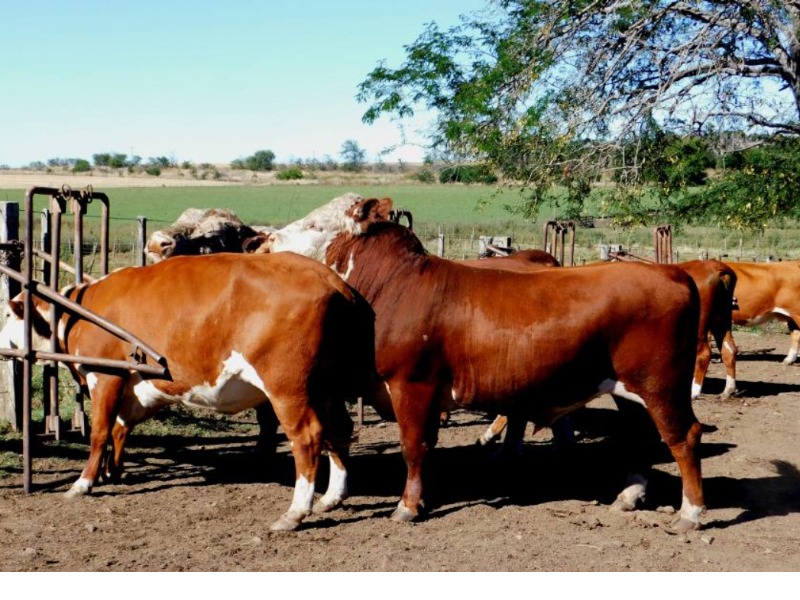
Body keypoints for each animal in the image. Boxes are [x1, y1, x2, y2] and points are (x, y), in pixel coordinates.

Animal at [0, 251, 376, 532]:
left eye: (6, 313)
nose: (2, 345)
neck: (78, 311)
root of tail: (332, 280)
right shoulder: (134, 387)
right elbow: (120, 429)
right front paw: (114, 472)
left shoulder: (106, 375)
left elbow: (100, 433)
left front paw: (84, 482)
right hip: (328, 388)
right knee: (339, 431)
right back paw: (332, 496)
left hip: (289, 389)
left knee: (308, 438)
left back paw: (296, 511)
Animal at [264, 192, 708, 528]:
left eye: (315, 226)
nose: (267, 241)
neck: (391, 289)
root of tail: (672, 275)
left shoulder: (411, 384)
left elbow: (413, 446)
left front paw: (407, 506)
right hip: (627, 389)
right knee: (641, 435)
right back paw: (630, 494)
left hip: (661, 384)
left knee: (683, 436)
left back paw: (691, 513)